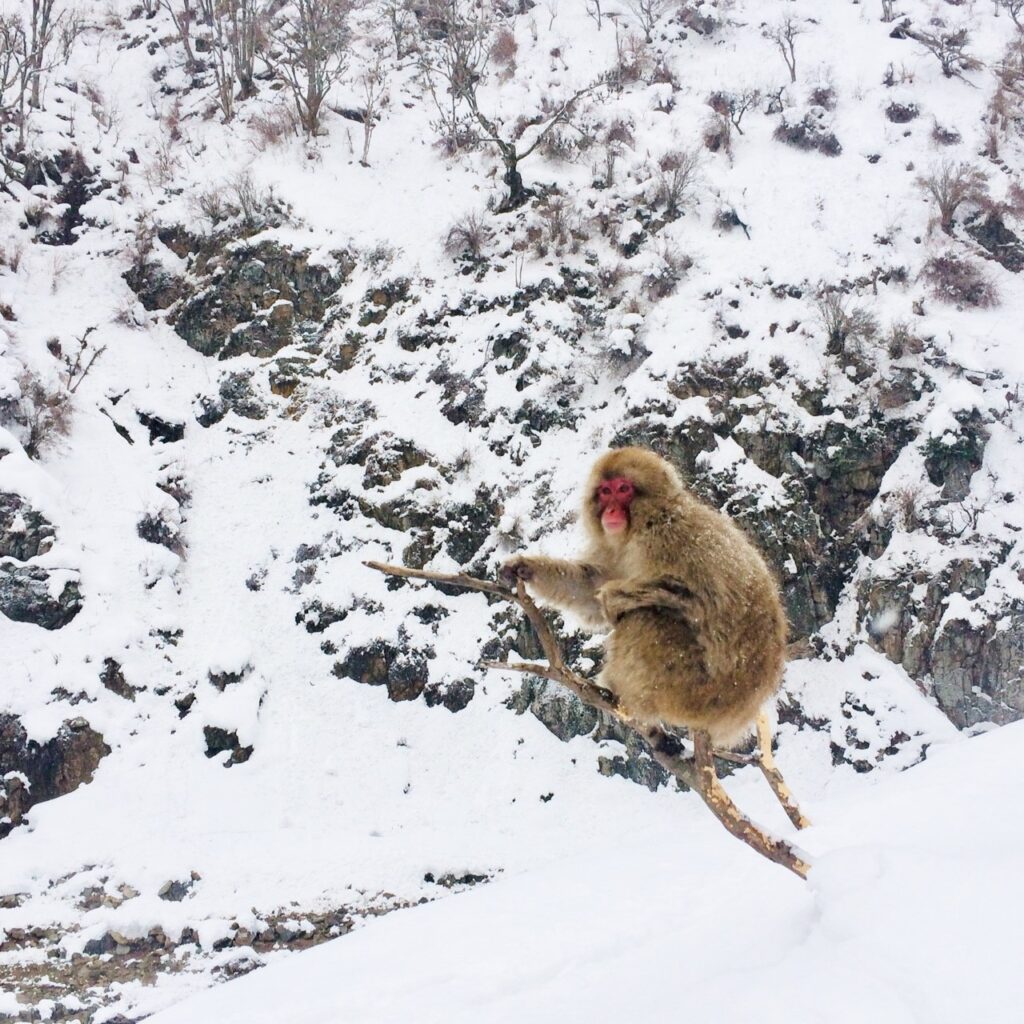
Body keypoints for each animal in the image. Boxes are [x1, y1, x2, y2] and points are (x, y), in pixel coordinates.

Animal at [499, 446, 786, 745]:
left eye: (624, 489)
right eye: (605, 491)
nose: (611, 510)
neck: (640, 525)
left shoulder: (668, 537)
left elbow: (699, 600)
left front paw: (612, 598)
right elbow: (590, 589)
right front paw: (524, 568)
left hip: (695, 692)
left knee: (647, 617)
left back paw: (622, 692)